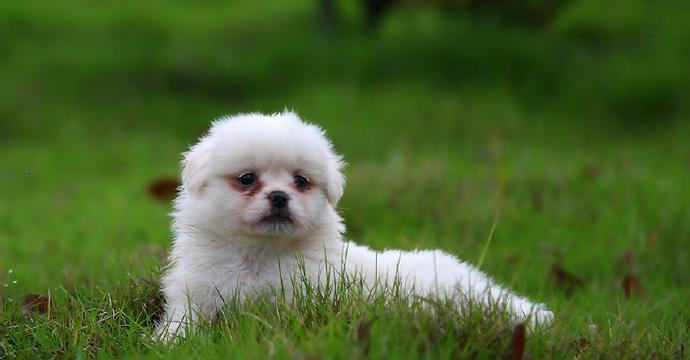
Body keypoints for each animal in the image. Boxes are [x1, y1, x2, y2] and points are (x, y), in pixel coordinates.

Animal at [155, 111, 548, 338]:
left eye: (301, 181)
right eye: (247, 179)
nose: (280, 196)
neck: (260, 254)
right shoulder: (196, 294)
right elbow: (183, 326)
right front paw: (167, 342)